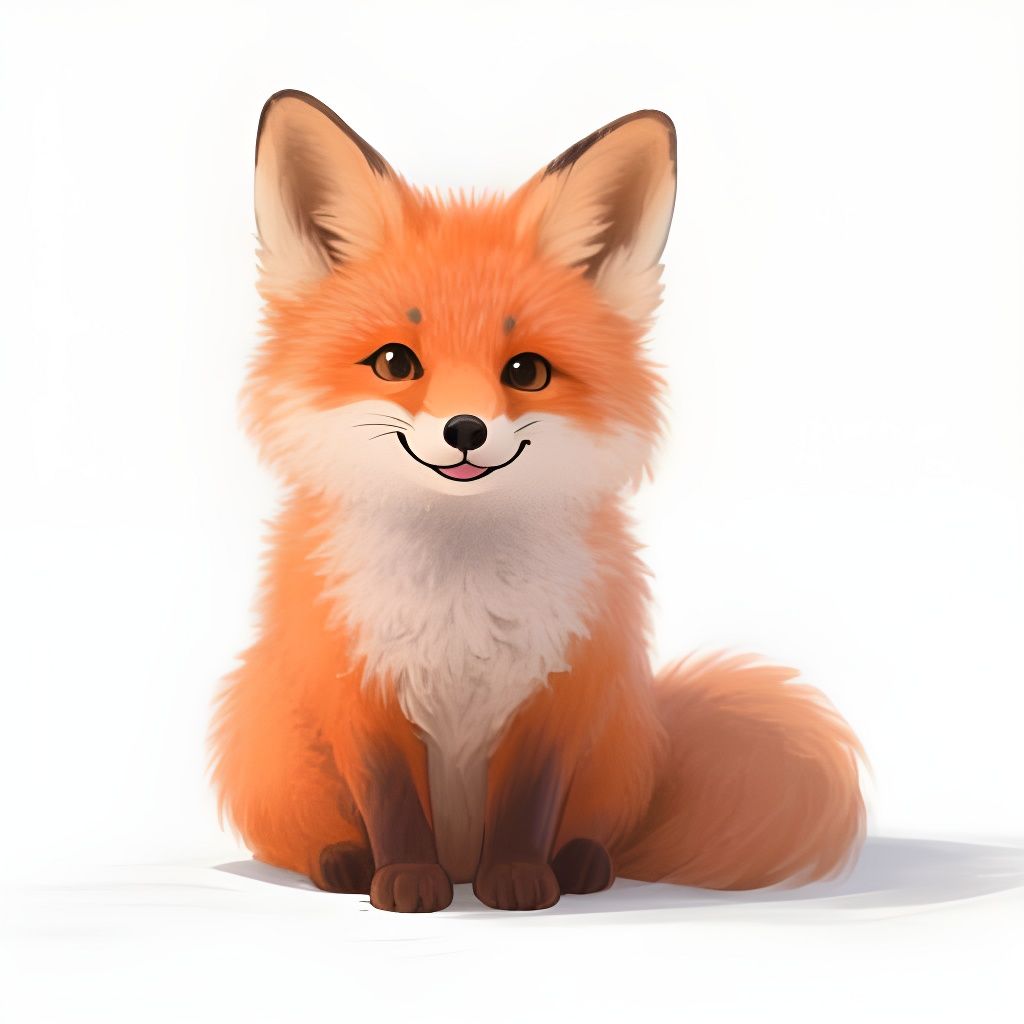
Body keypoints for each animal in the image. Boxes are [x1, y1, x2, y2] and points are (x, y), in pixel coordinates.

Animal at [209, 89, 866, 913]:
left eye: (526, 371)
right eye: (394, 362)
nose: (465, 429)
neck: (458, 591)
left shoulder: (559, 694)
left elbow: (529, 802)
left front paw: (521, 882)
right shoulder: (357, 691)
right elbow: (391, 803)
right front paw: (407, 882)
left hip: (619, 738)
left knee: (601, 829)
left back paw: (582, 866)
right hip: (265, 728)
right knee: (307, 833)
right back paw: (344, 863)